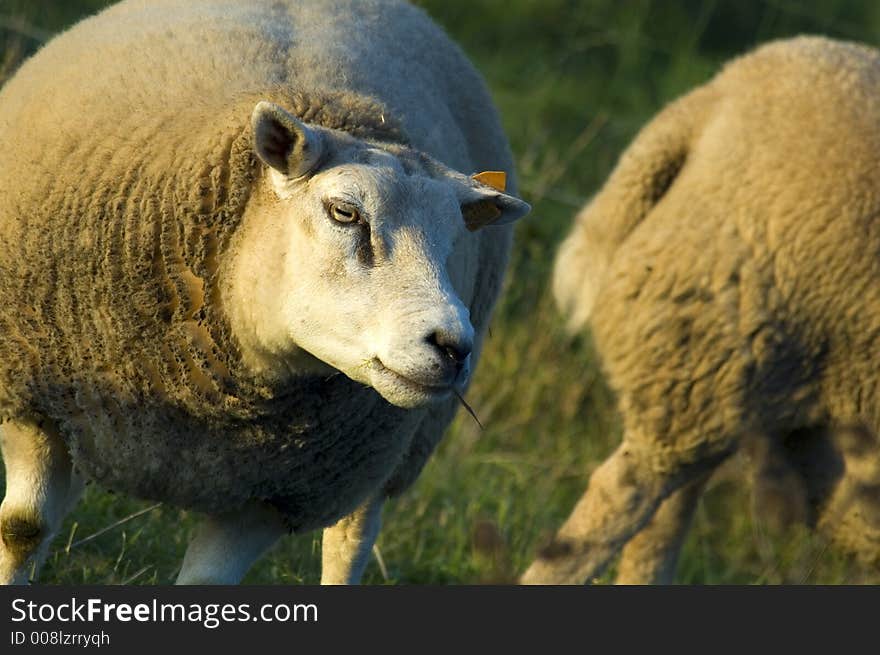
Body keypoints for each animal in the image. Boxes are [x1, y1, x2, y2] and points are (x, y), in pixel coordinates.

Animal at [0, 0, 528, 588]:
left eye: (454, 243)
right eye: (345, 212)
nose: (454, 347)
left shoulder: (276, 495)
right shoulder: (36, 402)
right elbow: (22, 530)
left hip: (382, 456)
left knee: (351, 541)